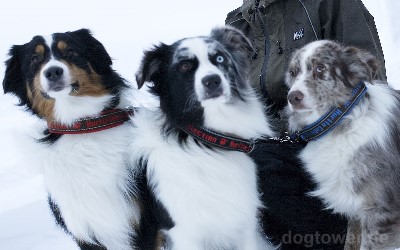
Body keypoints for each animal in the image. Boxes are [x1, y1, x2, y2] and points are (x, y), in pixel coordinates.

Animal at [131, 26, 276, 249]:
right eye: (184, 66)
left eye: (220, 58)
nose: (213, 80)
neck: (207, 143)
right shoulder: (185, 232)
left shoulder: (245, 224)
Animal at [286, 40, 400, 249]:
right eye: (293, 72)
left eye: (320, 68)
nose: (293, 97)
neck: (343, 119)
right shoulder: (357, 207)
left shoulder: (380, 212)